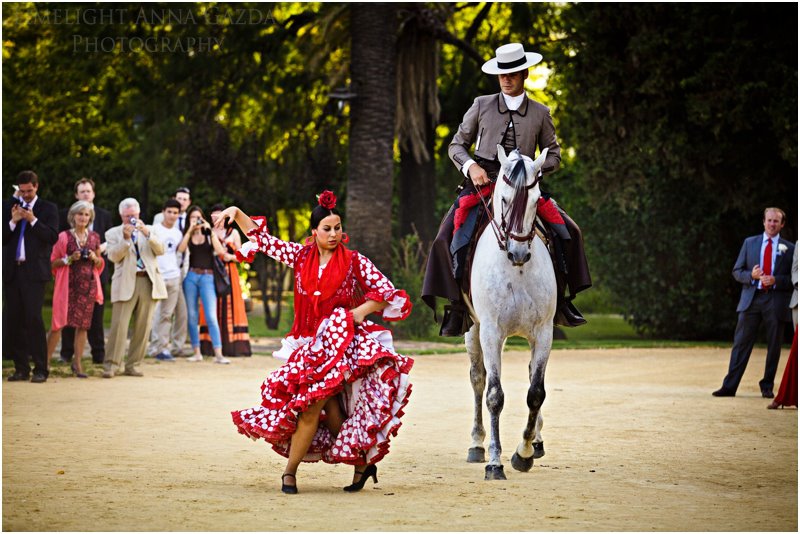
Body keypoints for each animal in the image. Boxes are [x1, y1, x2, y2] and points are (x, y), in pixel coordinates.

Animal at [462, 143, 556, 482]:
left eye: (535, 200)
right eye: (503, 199)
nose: (518, 253)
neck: (516, 271)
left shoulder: (544, 332)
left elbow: (535, 393)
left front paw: (523, 452)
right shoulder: (491, 331)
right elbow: (494, 395)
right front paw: (494, 461)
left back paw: (536, 441)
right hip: (473, 328)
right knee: (478, 379)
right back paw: (477, 444)